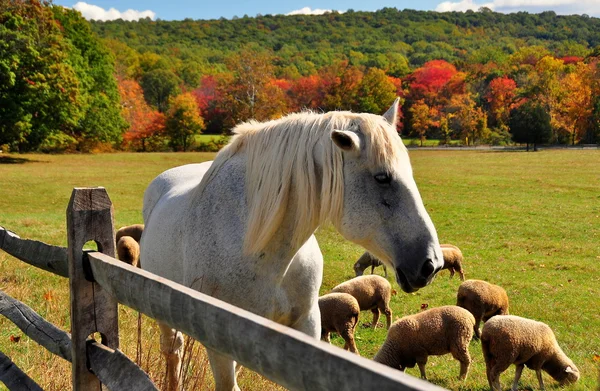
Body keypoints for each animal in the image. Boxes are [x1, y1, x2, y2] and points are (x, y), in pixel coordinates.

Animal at [139, 100, 440, 391]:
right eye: (382, 178)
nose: (432, 264)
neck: (262, 252)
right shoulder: (220, 341)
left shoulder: (306, 324)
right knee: (173, 350)